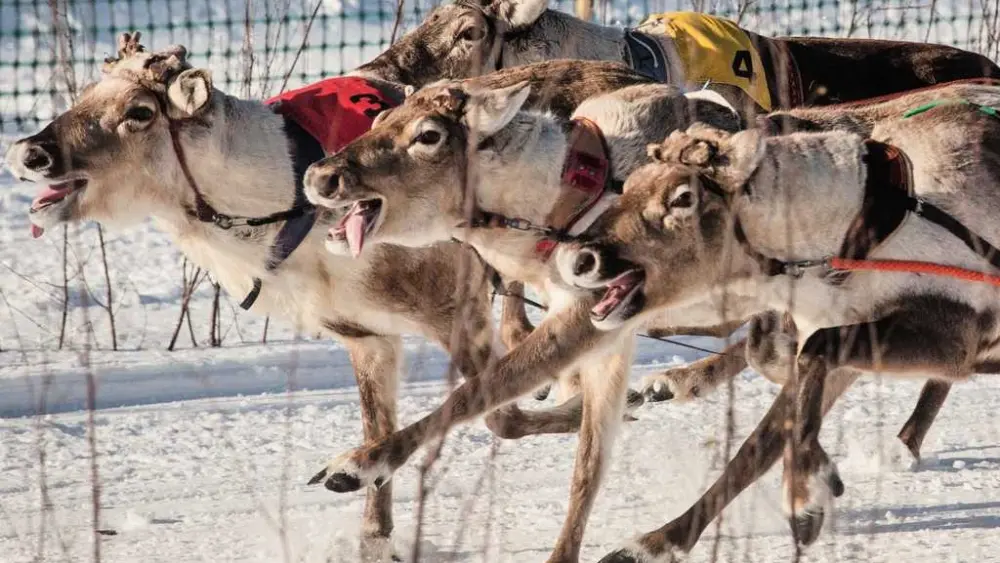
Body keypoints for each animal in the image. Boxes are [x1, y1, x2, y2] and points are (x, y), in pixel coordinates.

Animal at [1, 34, 657, 562]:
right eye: (86, 93)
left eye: (138, 111)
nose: (29, 152)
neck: (281, 208)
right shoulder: (366, 336)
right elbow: (385, 442)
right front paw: (373, 532)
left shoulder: (455, 309)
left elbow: (501, 412)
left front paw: (617, 403)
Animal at [549, 81, 1000, 561]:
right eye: (630, 186)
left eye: (683, 197)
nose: (577, 258)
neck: (854, 224)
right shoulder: (845, 337)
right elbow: (756, 448)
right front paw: (659, 541)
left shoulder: (952, 337)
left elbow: (811, 363)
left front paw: (804, 496)